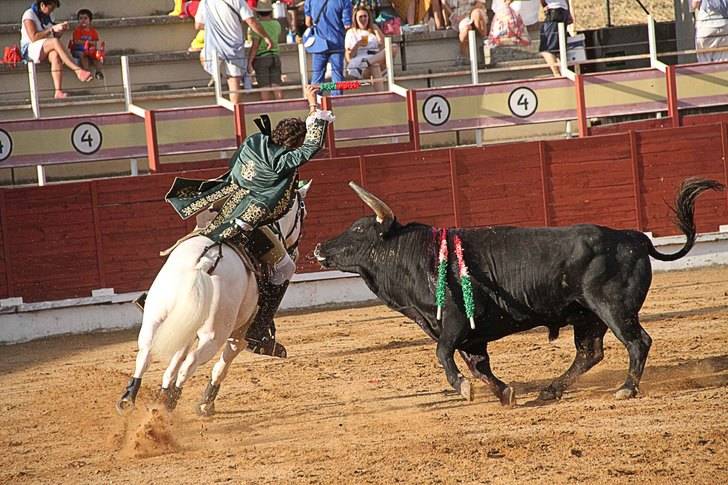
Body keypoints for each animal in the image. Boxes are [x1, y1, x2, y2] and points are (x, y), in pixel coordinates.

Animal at [115, 180, 308, 414]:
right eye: (302, 212)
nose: (296, 249)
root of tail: (204, 263)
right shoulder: (238, 337)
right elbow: (220, 367)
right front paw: (205, 403)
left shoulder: (185, 327)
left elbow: (174, 362)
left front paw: (162, 394)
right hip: (215, 335)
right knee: (190, 364)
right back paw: (173, 404)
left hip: (156, 317)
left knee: (147, 352)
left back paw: (130, 399)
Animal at [316, 178, 724, 404]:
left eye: (358, 230)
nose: (319, 248)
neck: (420, 256)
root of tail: (634, 238)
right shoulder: (472, 336)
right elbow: (479, 365)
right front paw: (503, 393)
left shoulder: (454, 323)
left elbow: (443, 354)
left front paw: (463, 388)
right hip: (587, 316)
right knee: (589, 353)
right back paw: (550, 390)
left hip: (613, 308)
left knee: (637, 342)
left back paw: (626, 389)